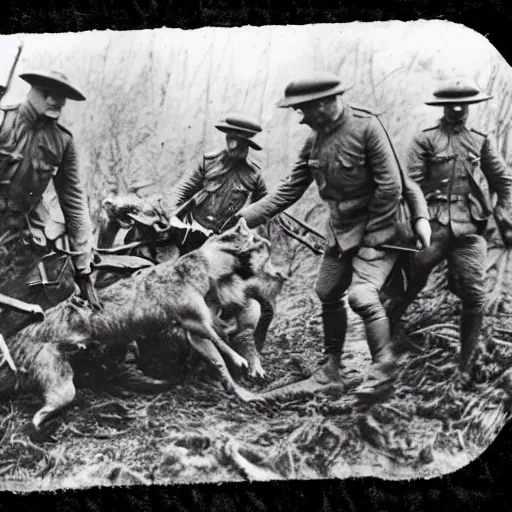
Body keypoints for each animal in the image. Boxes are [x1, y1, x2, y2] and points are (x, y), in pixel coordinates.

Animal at [0, 217, 272, 432]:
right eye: (247, 236)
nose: (267, 243)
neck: (195, 270)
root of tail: (16, 342)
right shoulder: (192, 316)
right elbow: (218, 339)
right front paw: (241, 360)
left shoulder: (195, 329)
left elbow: (216, 356)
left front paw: (246, 392)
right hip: (54, 377)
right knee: (45, 410)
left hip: (58, 378)